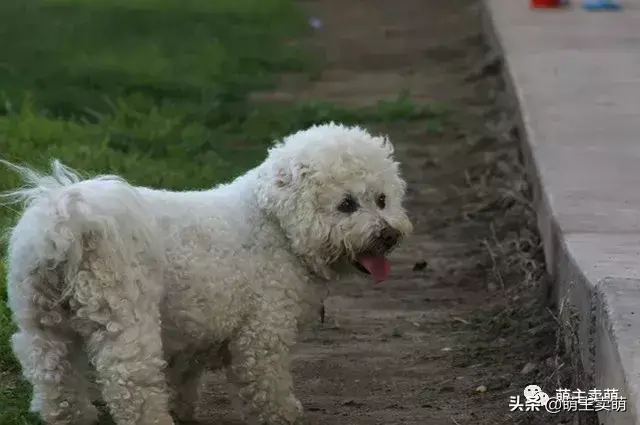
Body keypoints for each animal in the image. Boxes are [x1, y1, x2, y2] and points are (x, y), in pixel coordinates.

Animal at [2, 121, 412, 422]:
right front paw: (283, 414)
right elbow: (267, 383)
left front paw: (183, 410)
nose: (388, 235)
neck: (274, 224)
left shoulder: (189, 333)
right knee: (130, 384)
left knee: (54, 378)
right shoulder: (263, 333)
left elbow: (182, 378)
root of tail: (65, 222)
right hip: (125, 319)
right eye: (347, 205)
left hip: (42, 324)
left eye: (382, 200)